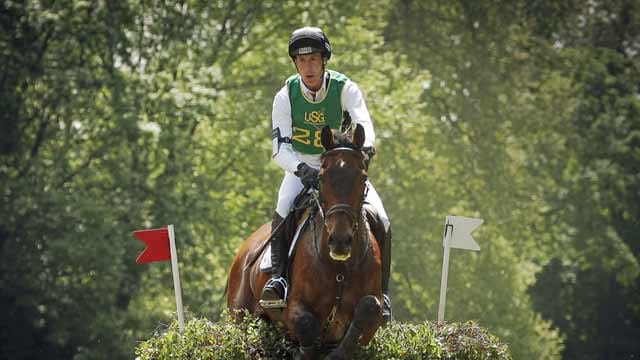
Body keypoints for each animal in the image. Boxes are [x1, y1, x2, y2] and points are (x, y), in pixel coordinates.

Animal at [228, 124, 382, 360]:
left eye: (362, 178)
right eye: (322, 178)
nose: (340, 241)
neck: (340, 267)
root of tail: (244, 250)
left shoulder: (372, 313)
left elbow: (369, 308)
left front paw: (336, 352)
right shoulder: (294, 307)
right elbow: (305, 323)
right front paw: (307, 351)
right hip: (239, 318)